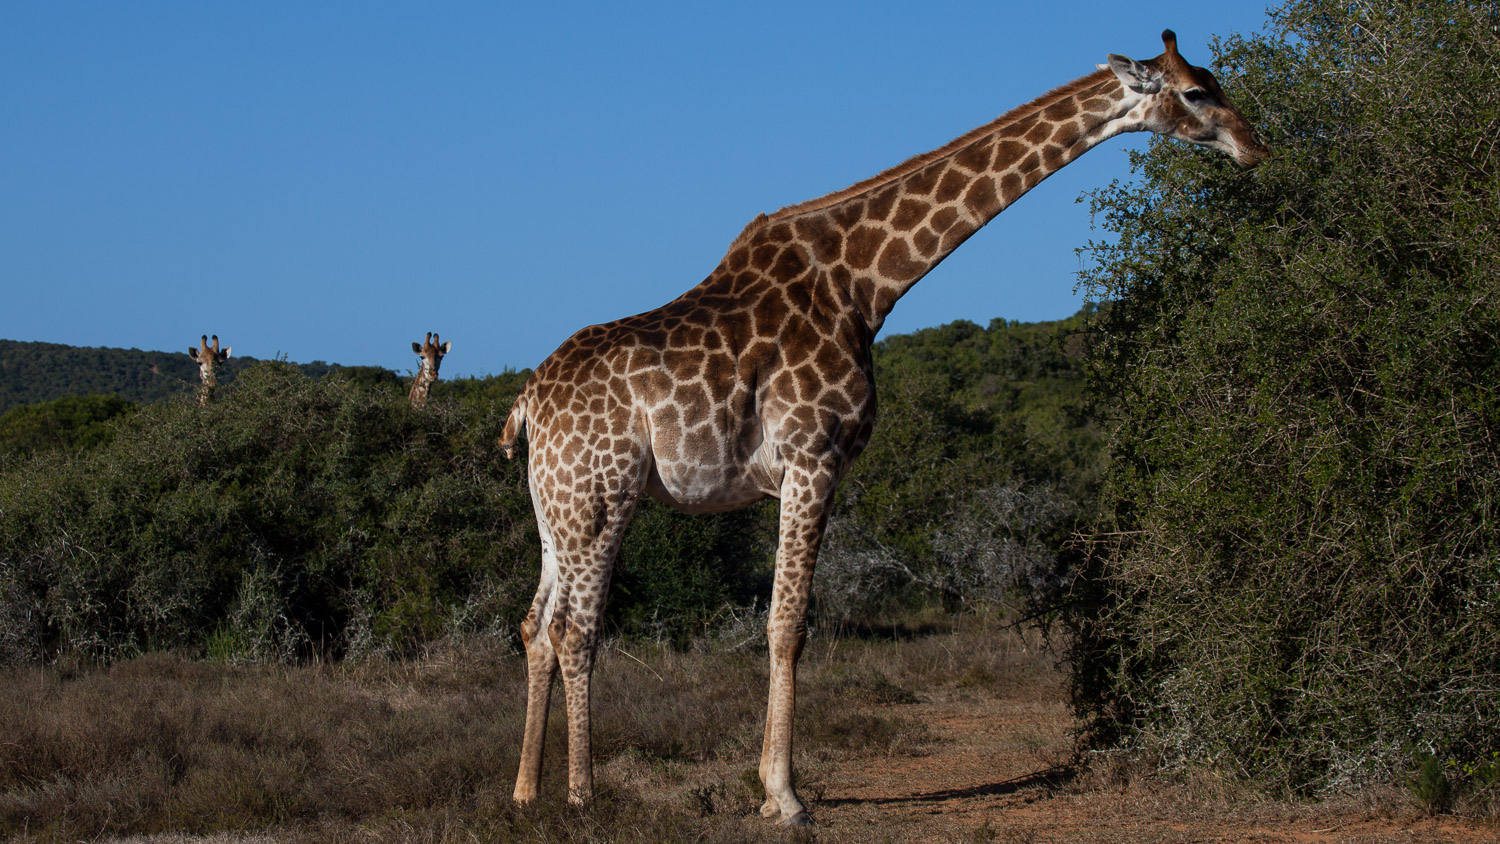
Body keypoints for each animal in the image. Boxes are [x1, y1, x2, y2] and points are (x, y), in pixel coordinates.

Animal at [501, 29, 1266, 821]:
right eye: (1198, 92)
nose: (1255, 147)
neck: (866, 282)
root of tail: (528, 402)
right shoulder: (813, 455)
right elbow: (787, 624)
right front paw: (784, 796)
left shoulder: (804, 468)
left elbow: (782, 621)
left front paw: (773, 789)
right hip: (603, 496)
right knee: (574, 630)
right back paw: (583, 797)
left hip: (555, 506)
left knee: (533, 626)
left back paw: (526, 794)